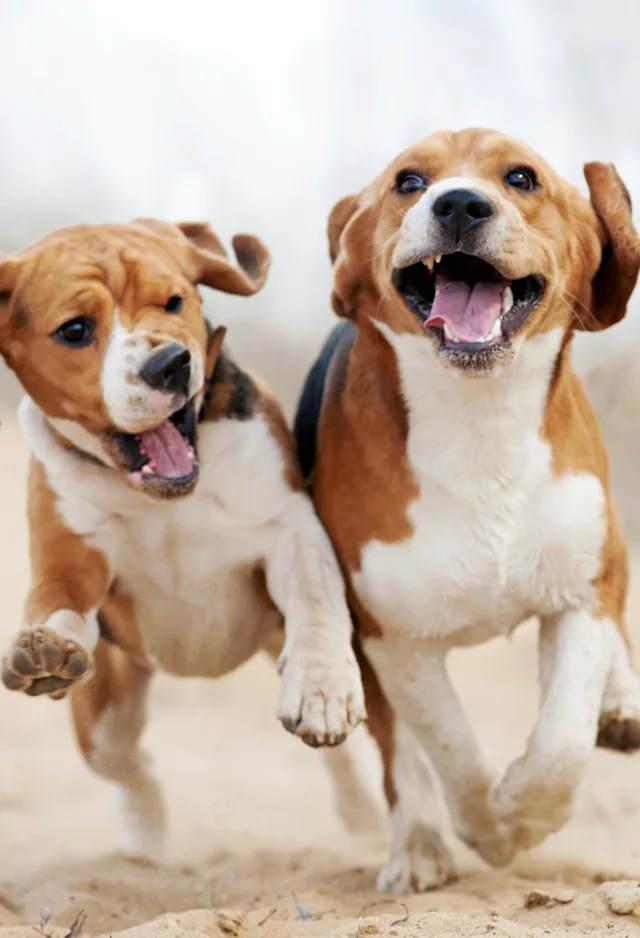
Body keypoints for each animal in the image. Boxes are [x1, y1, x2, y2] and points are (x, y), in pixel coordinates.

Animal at [0, 219, 364, 856]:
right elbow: (57, 602)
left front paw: (322, 686)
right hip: (104, 713)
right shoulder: (71, 561)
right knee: (130, 765)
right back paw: (148, 843)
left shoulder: (289, 529)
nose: (171, 363)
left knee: (356, 763)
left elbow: (318, 608)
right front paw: (46, 648)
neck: (165, 497)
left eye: (173, 302)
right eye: (75, 330)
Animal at [296, 128, 640, 888]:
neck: (481, 417)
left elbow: (562, 742)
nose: (457, 203)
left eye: (522, 178)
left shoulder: (580, 596)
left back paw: (623, 699)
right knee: (404, 763)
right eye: (408, 181)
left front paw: (524, 811)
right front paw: (491, 827)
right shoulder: (393, 638)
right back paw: (419, 848)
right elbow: (449, 748)